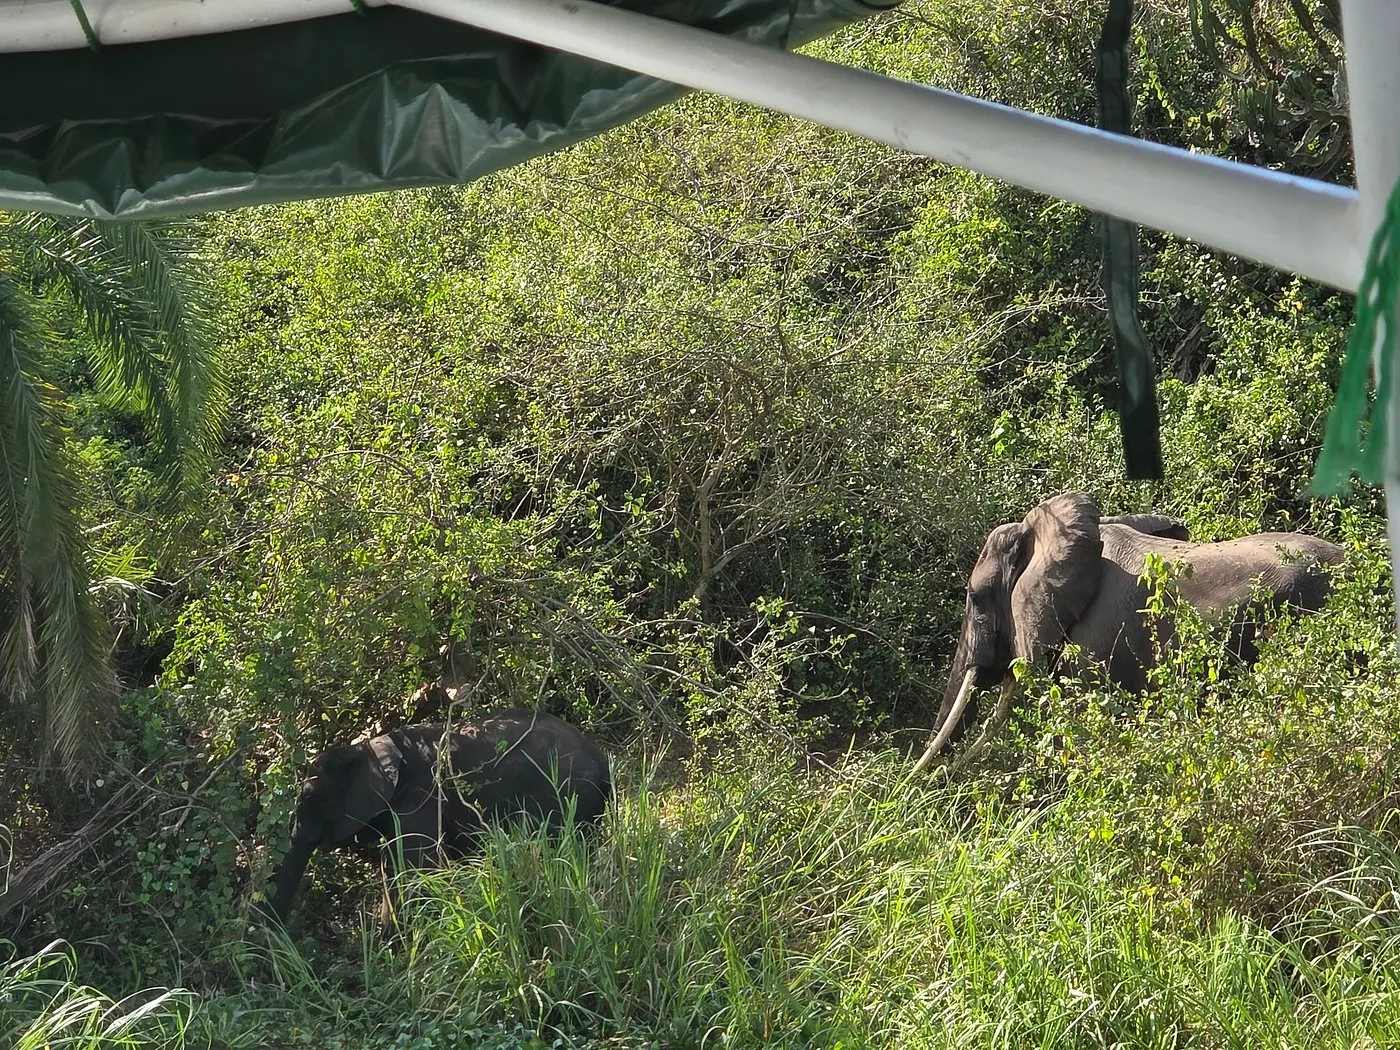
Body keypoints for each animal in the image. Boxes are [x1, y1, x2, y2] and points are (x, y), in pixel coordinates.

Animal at [266, 708, 611, 922]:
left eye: (309, 797)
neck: (366, 748)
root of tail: (600, 757)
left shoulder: (420, 798)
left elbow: (411, 867)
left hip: (564, 793)